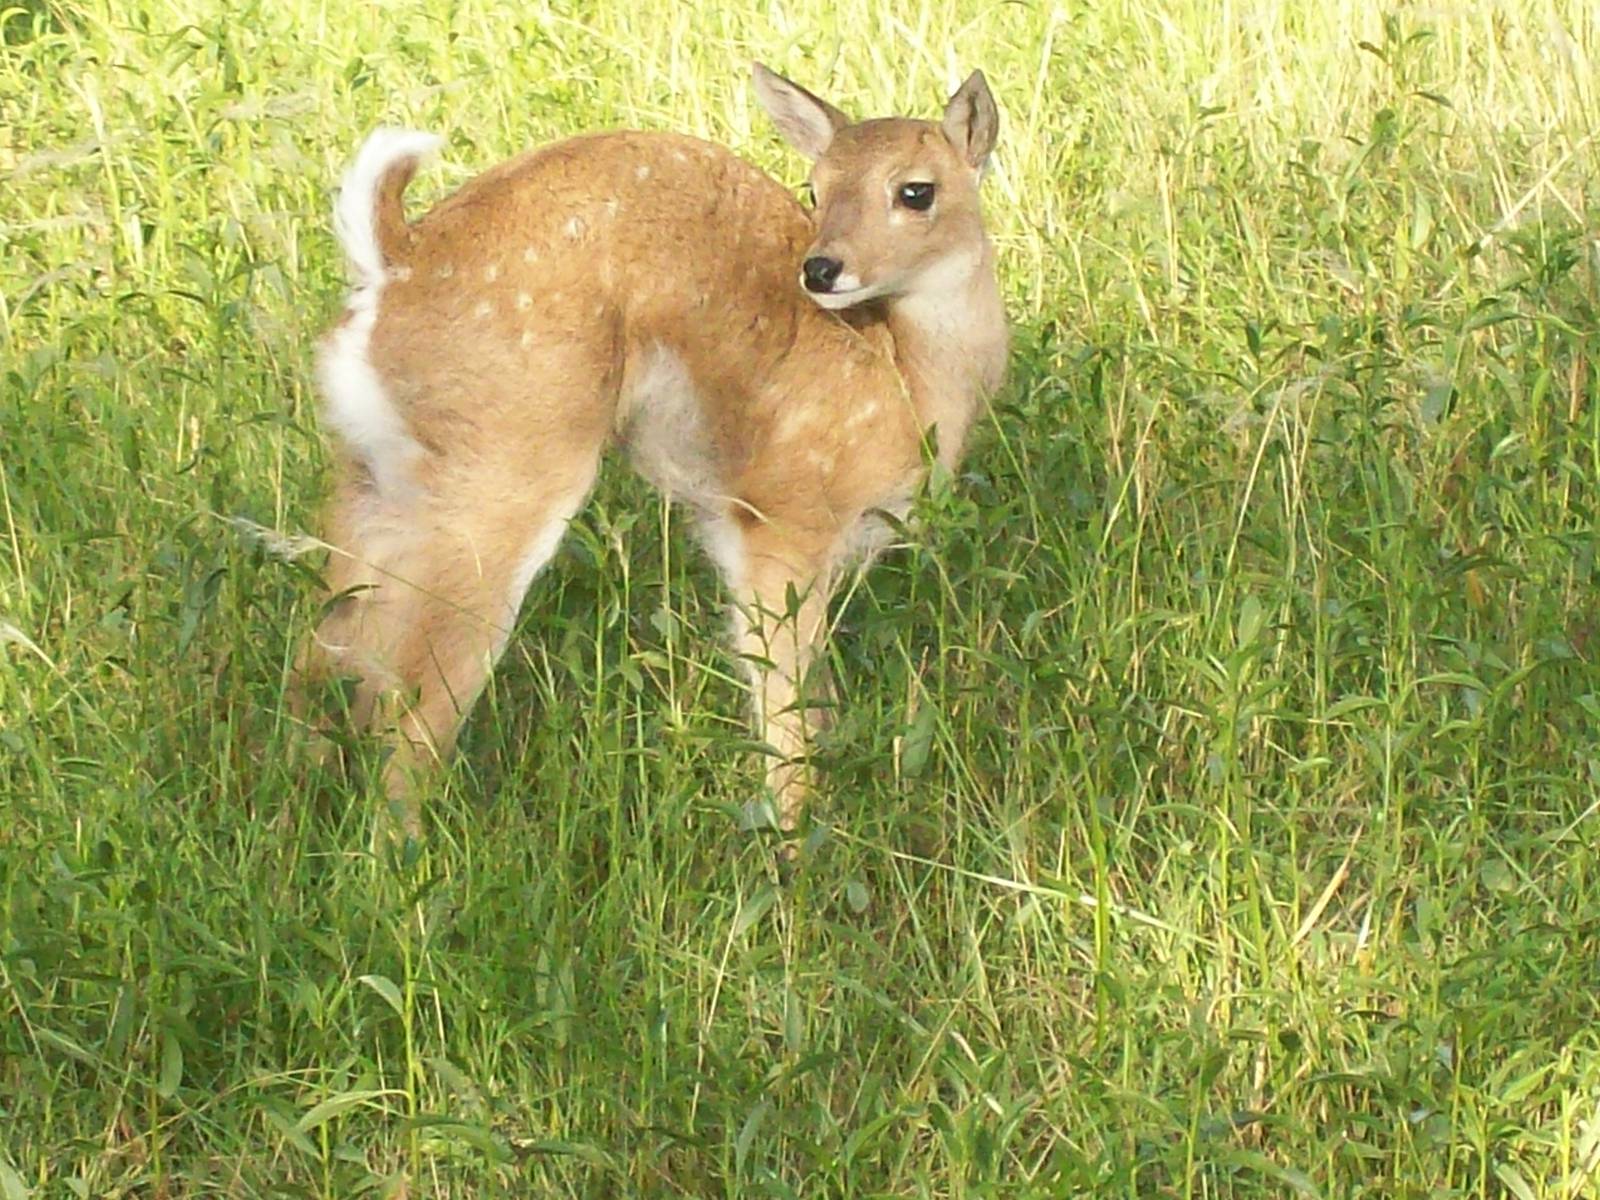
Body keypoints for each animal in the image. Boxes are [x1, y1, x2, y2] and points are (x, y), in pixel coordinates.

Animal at [295, 64, 1009, 842]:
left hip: (371, 477)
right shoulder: (782, 515)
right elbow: (783, 701)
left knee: (335, 651)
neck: (904, 378)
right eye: (816, 185)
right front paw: (790, 838)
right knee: (410, 701)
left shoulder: (733, 522)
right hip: (507, 466)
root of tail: (394, 262)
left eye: (916, 190)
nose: (821, 269)